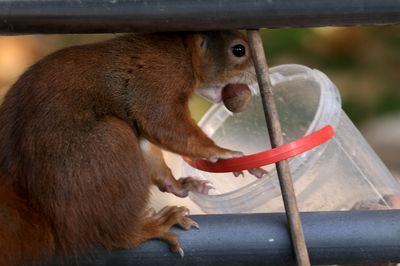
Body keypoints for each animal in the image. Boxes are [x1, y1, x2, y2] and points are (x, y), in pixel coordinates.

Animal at [0, 30, 258, 264]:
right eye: (239, 50)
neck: (183, 50)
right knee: (117, 237)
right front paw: (224, 154)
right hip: (107, 145)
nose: (256, 78)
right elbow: (165, 125)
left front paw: (179, 184)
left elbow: (151, 148)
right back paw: (152, 227)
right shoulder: (157, 79)